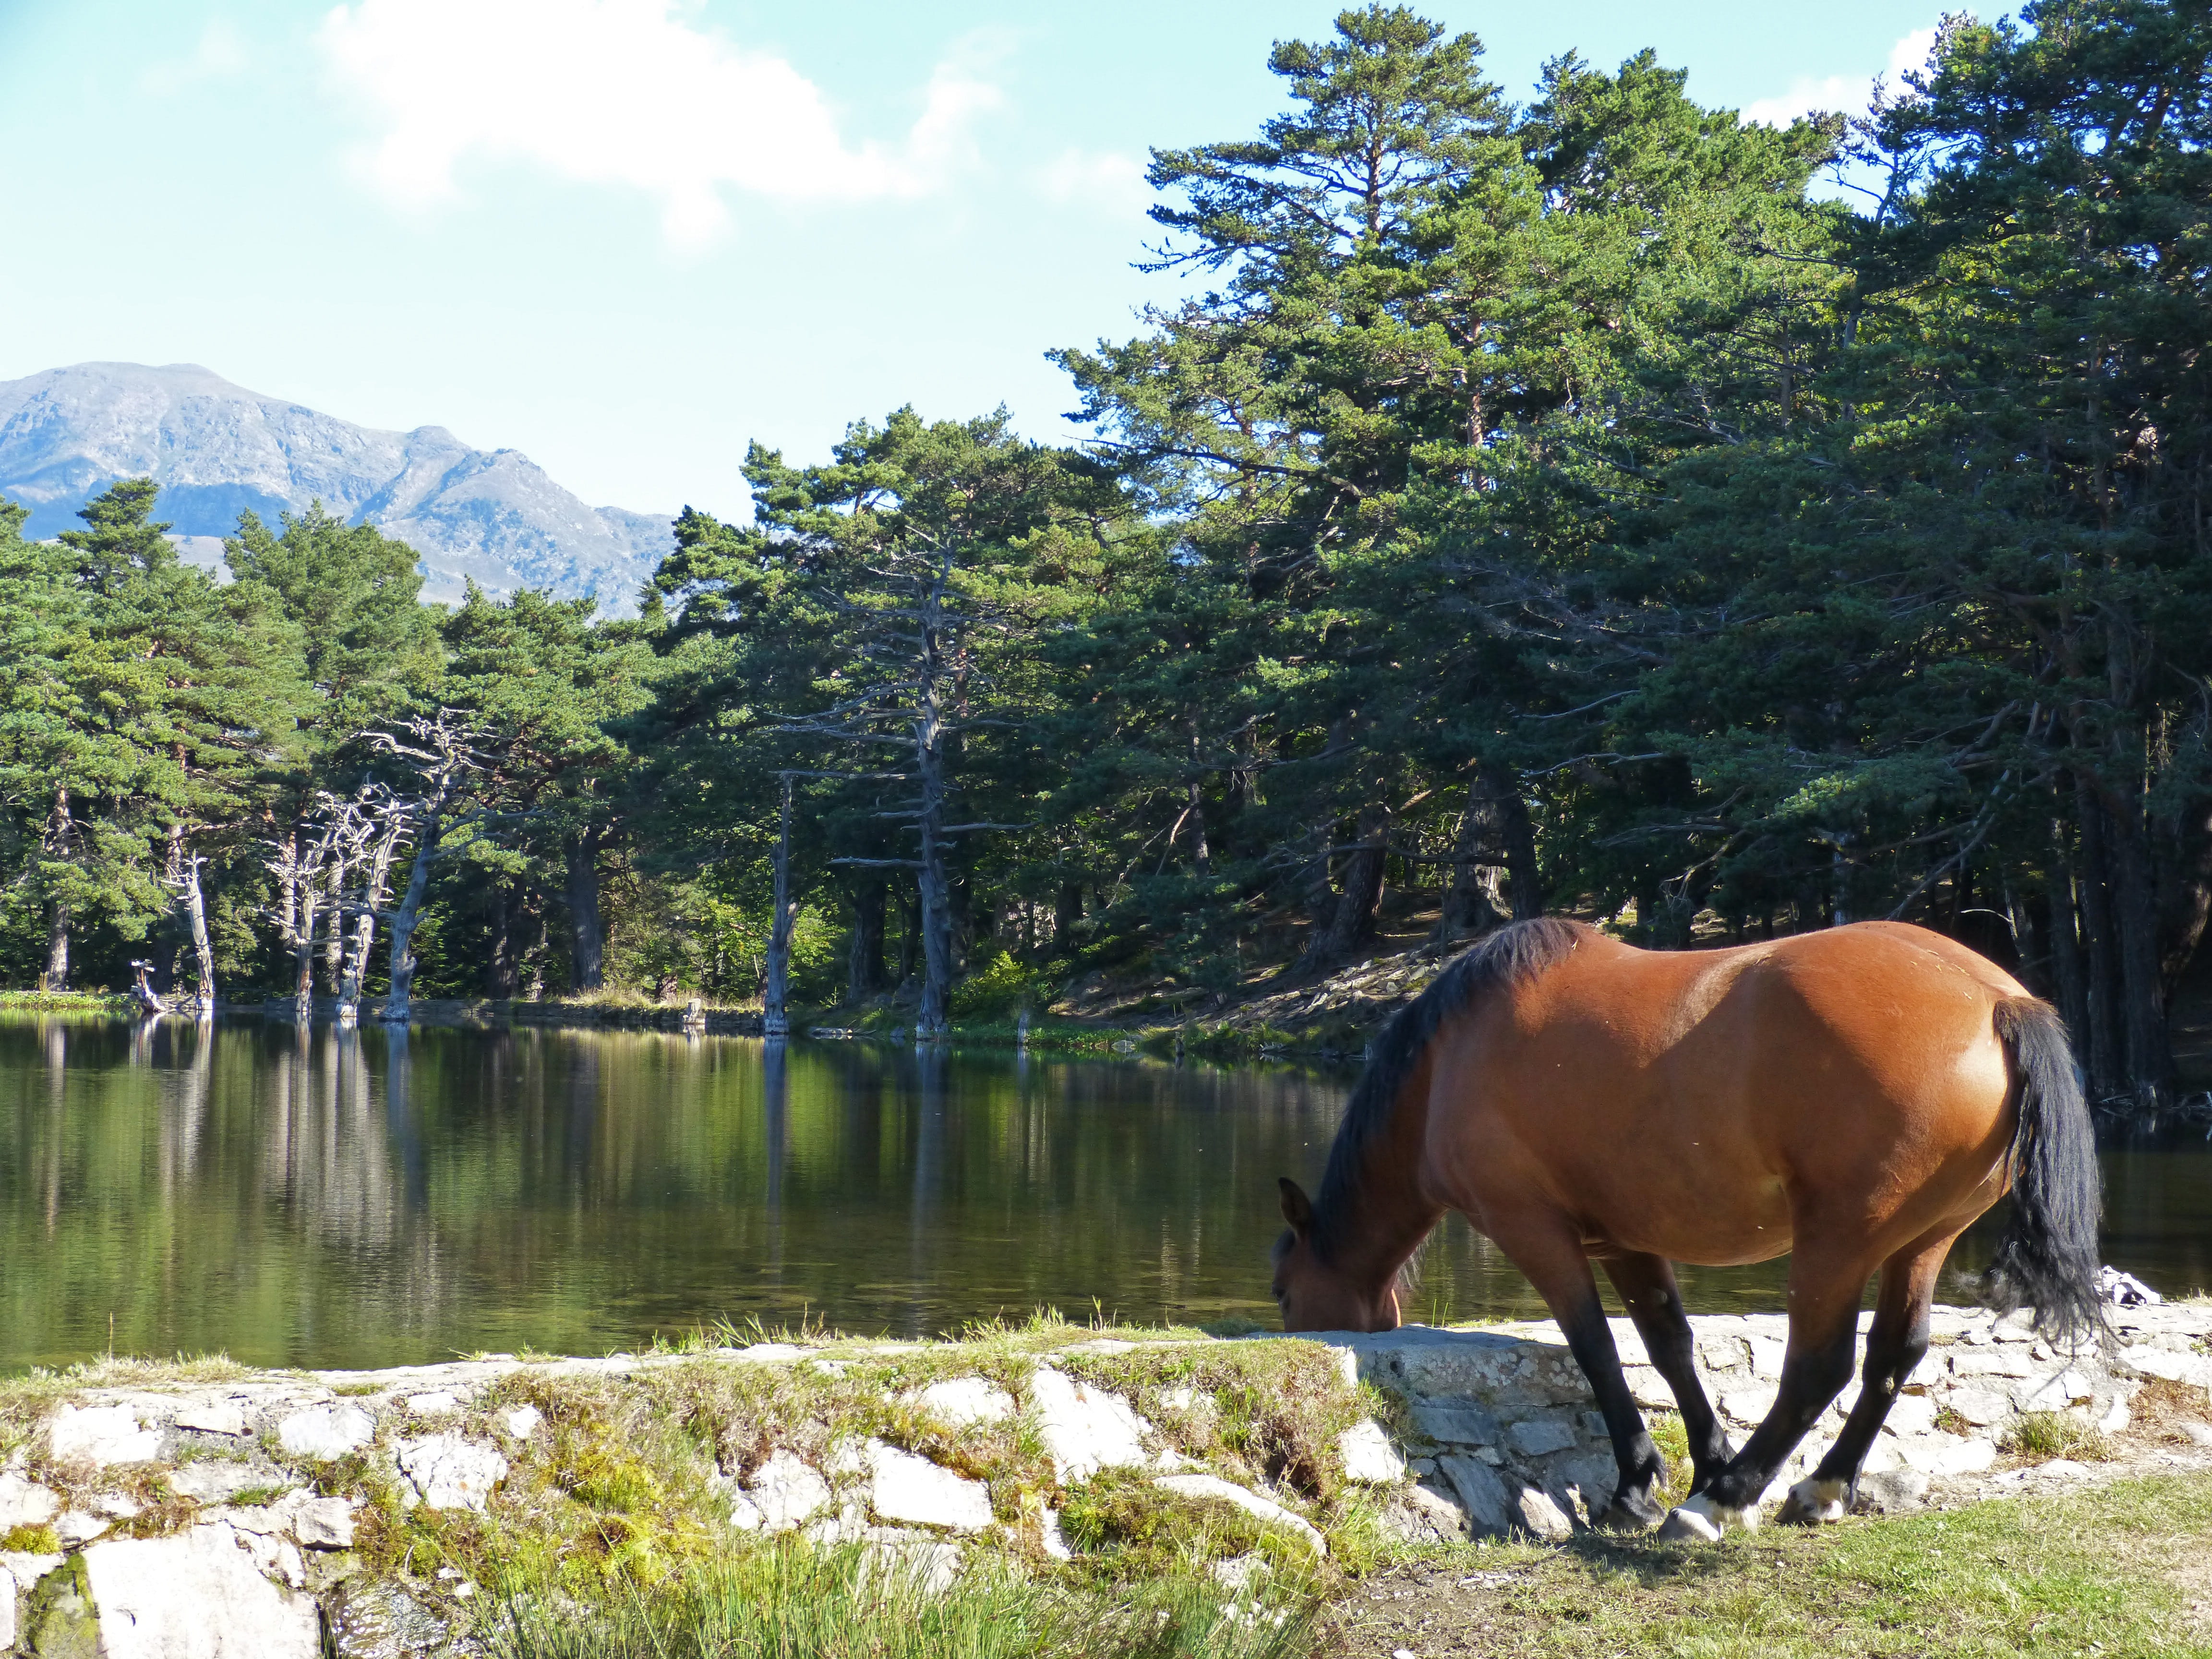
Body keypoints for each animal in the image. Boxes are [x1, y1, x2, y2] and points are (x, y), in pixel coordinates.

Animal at [1270, 917, 2104, 1539]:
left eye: (1282, 1291)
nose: (1287, 1323)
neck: (1452, 1057)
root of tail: (1996, 1001)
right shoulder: (1626, 1239)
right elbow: (1669, 1346)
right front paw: (1702, 1458)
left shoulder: (1532, 1229)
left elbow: (1596, 1348)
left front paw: (1644, 1485)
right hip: (1921, 1242)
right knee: (1894, 1356)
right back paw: (1819, 1488)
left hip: (1838, 1241)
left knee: (1819, 1367)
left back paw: (1721, 1504)